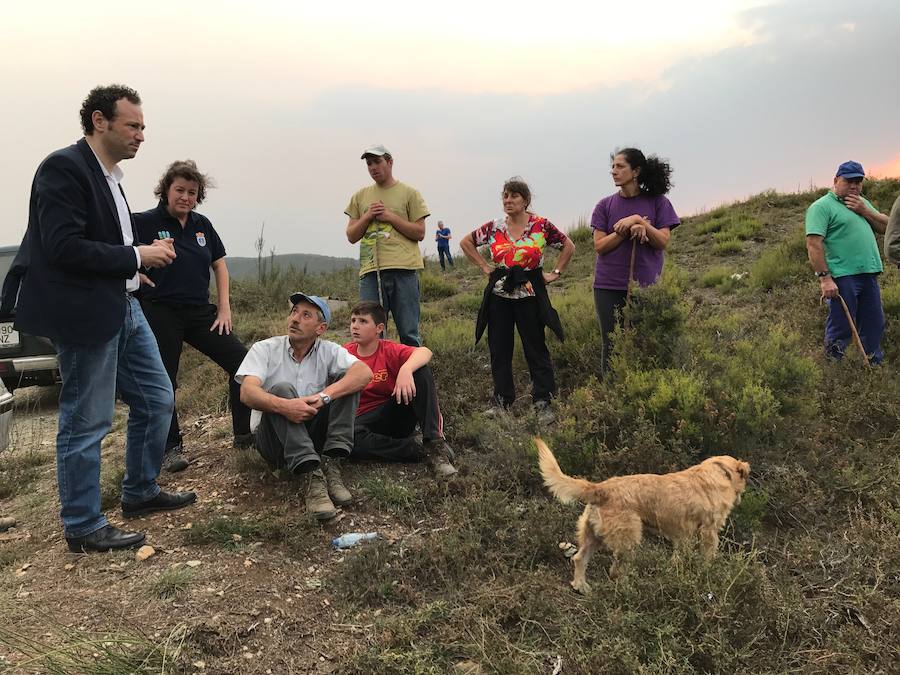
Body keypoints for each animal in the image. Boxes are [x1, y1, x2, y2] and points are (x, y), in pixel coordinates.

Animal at [536, 438, 748, 592]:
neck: (719, 471)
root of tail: (600, 488)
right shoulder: (709, 532)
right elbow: (708, 555)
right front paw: (707, 571)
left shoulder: (682, 539)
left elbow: (678, 558)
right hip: (627, 539)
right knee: (616, 571)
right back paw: (629, 588)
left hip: (592, 536)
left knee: (579, 559)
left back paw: (581, 586)